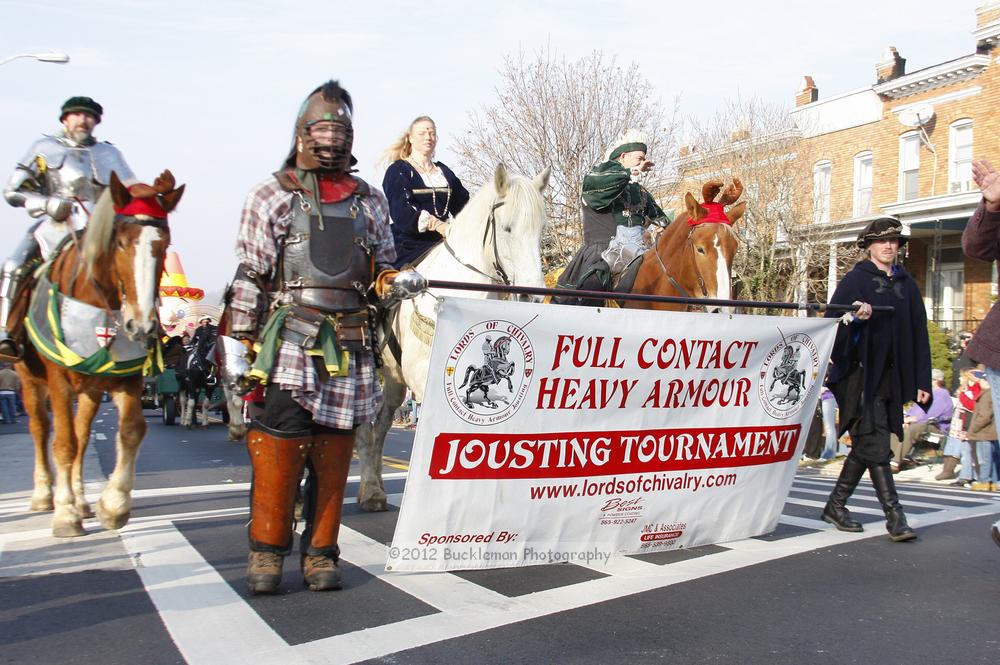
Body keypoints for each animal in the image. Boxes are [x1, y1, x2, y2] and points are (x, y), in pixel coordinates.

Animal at [356, 163, 552, 510]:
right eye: (507, 229)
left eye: (540, 229)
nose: (533, 295)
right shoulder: (424, 377)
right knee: (367, 426)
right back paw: (371, 492)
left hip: (394, 382)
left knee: (381, 424)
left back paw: (376, 486)